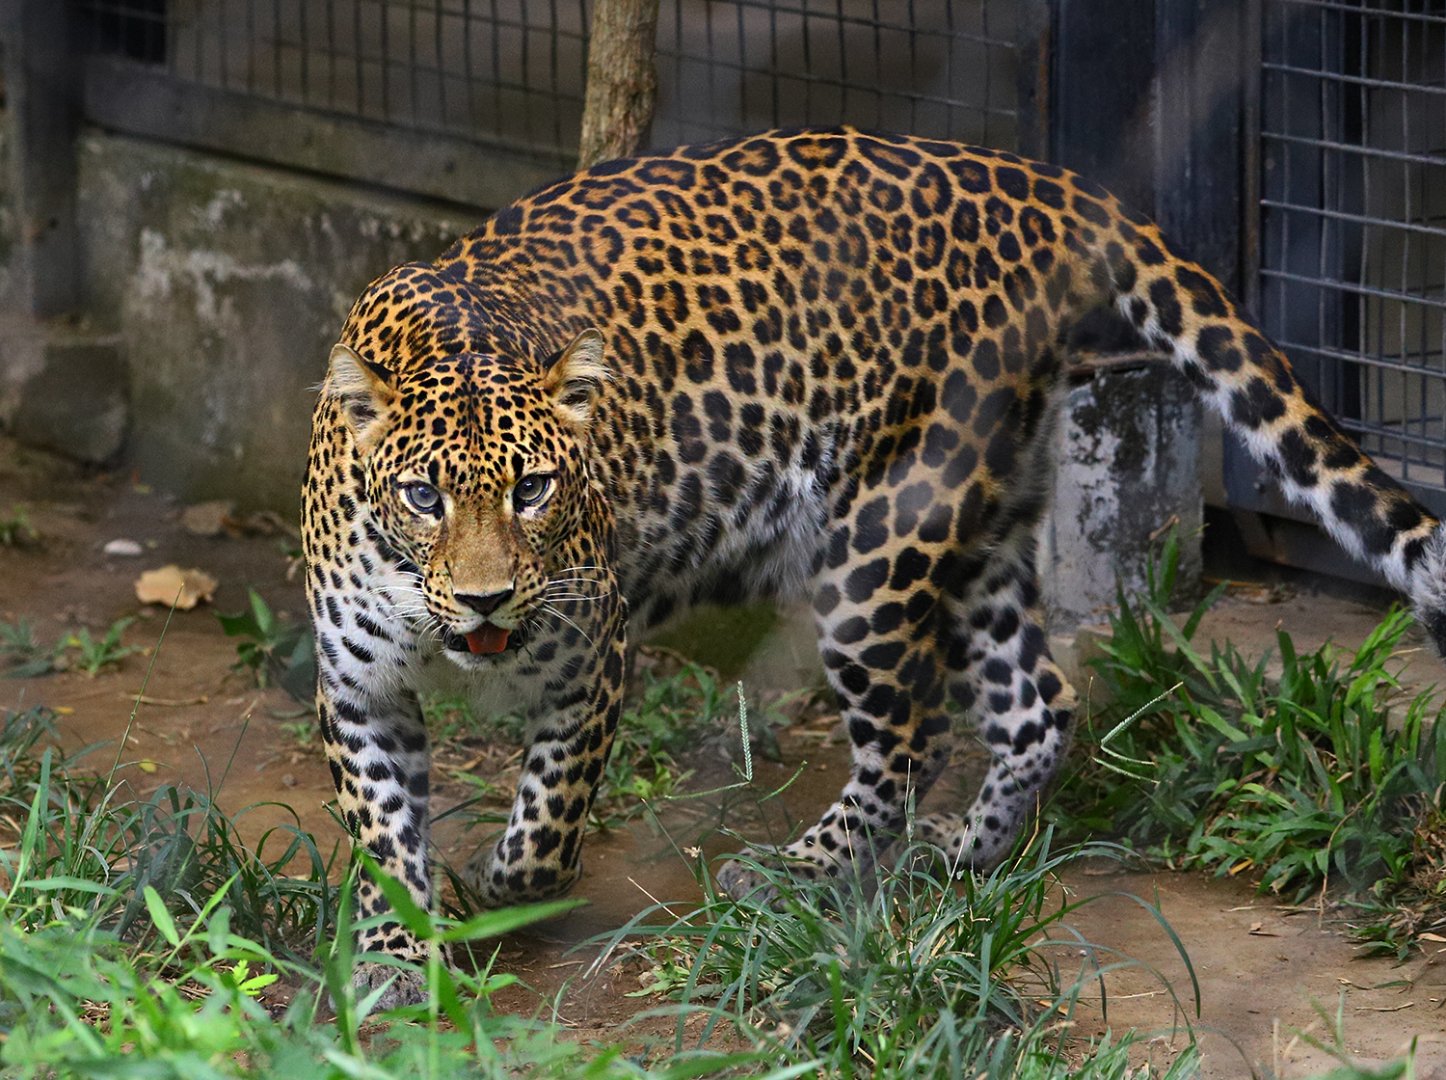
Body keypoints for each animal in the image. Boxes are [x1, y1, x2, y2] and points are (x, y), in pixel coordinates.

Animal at [302, 127, 1446, 1006]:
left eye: (535, 488)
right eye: (423, 498)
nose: (487, 597)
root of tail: (1031, 178)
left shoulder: (593, 661)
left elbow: (545, 820)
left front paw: (495, 896)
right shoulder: (360, 690)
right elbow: (381, 835)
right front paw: (395, 951)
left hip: (875, 545)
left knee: (915, 733)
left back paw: (800, 872)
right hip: (982, 525)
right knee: (1038, 700)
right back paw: (963, 858)